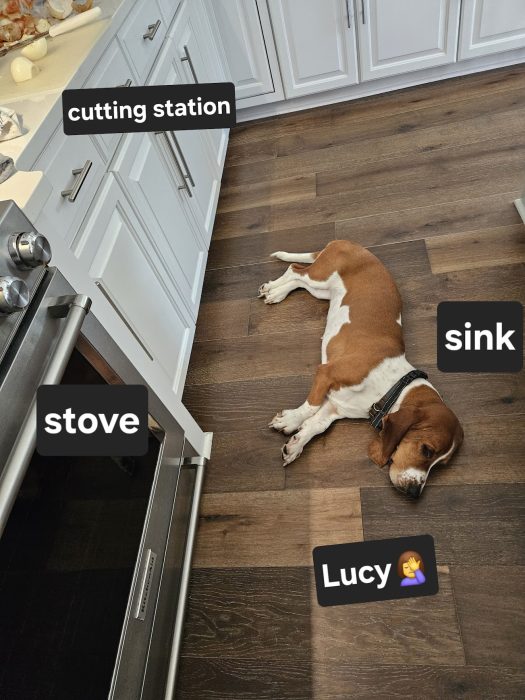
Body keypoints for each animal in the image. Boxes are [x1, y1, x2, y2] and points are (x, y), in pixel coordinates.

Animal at [258, 241, 462, 498]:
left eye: (440, 465)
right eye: (426, 450)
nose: (415, 492)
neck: (392, 386)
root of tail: (347, 243)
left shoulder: (336, 406)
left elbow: (317, 425)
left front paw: (297, 443)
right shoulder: (326, 374)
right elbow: (310, 407)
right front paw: (291, 420)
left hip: (322, 291)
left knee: (298, 279)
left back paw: (276, 292)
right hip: (321, 277)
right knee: (295, 270)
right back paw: (274, 289)